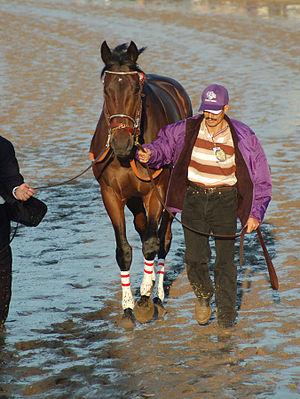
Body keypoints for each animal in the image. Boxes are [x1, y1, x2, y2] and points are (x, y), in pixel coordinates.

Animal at [89, 41, 192, 328]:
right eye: (106, 90)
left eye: (136, 90)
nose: (120, 143)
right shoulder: (111, 194)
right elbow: (124, 250)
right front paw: (127, 308)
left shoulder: (155, 193)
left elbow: (152, 244)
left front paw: (145, 300)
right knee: (143, 225)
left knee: (163, 238)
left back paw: (157, 294)